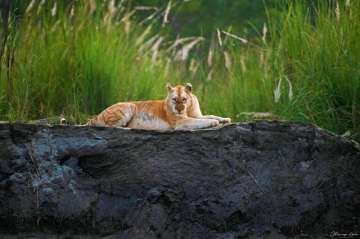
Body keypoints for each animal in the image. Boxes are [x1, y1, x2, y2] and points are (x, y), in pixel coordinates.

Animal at [88, 82, 232, 131]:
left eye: (184, 99)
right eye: (174, 100)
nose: (179, 109)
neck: (188, 109)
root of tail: (95, 117)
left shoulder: (197, 115)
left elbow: (210, 115)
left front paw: (225, 119)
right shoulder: (180, 122)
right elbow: (201, 121)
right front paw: (213, 122)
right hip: (129, 106)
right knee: (111, 127)